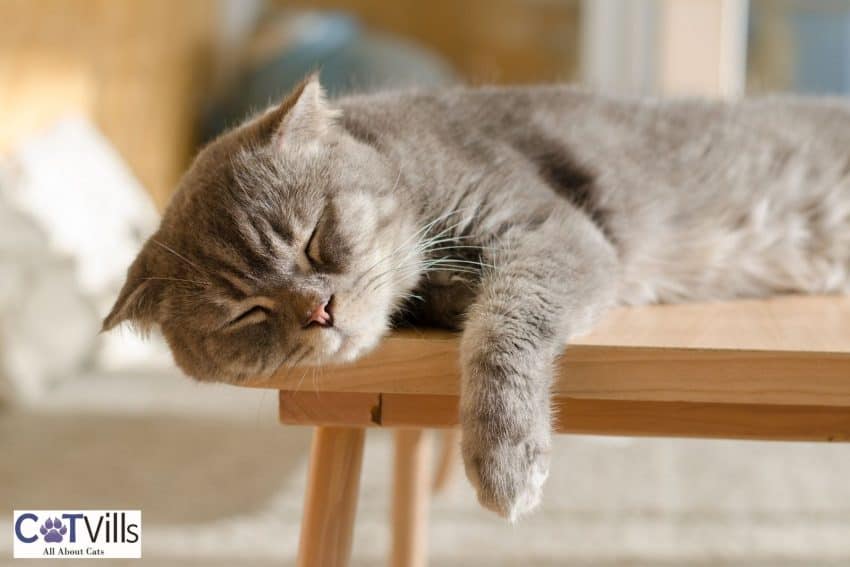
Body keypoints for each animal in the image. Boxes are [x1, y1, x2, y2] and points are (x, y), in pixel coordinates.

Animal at [102, 76, 848, 524]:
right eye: (246, 311)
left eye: (313, 238)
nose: (319, 310)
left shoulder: (555, 233)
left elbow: (501, 328)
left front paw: (505, 454)